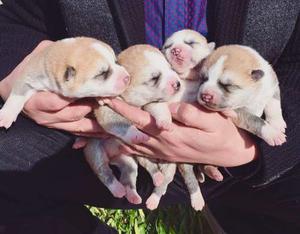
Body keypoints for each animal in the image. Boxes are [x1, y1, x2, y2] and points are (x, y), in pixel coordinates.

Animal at [0, 36, 129, 128]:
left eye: (116, 62)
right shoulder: (29, 76)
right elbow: (17, 95)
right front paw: (6, 115)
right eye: (102, 73)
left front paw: (102, 98)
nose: (127, 78)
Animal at [83, 44, 180, 204]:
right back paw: (118, 189)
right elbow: (121, 123)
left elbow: (159, 108)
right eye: (154, 78)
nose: (178, 83)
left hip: (133, 161)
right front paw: (136, 135)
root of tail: (113, 156)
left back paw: (140, 192)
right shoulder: (107, 109)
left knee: (135, 176)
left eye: (170, 68)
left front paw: (165, 122)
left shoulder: (152, 102)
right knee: (105, 173)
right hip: (95, 152)